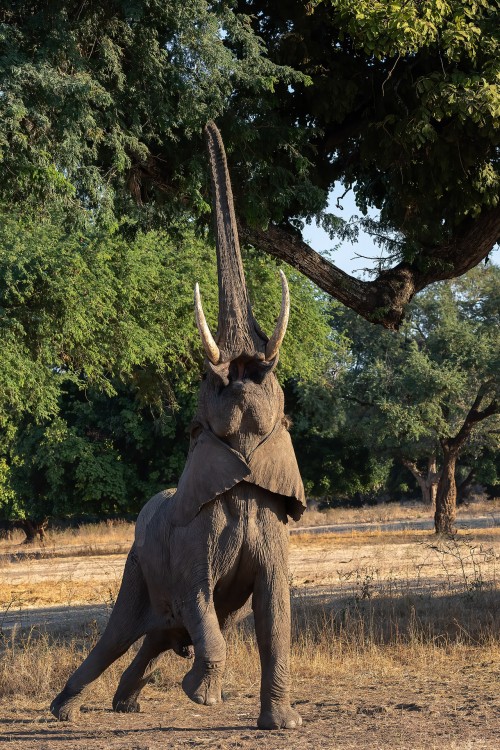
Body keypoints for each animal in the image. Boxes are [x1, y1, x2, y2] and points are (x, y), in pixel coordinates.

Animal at [49, 120, 304, 732]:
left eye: (282, 405)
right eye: (209, 386)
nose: (208, 125)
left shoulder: (272, 526)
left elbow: (276, 609)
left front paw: (281, 725)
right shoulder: (192, 541)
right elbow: (201, 601)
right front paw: (202, 698)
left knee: (155, 638)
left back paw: (125, 703)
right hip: (136, 565)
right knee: (121, 635)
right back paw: (63, 712)